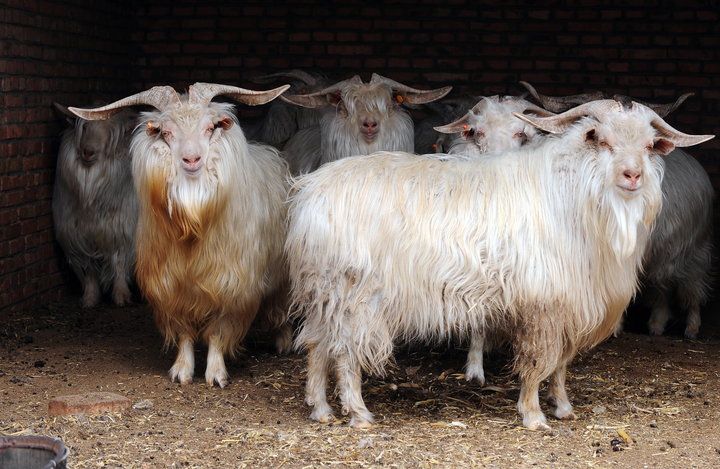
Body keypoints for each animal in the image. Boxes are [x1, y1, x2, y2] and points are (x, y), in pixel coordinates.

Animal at [51, 103, 138, 308]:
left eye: (110, 133)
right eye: (84, 127)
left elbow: (119, 262)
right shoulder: (78, 235)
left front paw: (121, 296)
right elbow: (88, 268)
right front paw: (89, 299)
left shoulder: (123, 231)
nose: (88, 151)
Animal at [67, 84, 292, 388]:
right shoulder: (169, 285)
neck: (193, 224)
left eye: (210, 128)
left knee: (281, 306)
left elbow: (218, 331)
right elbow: (183, 331)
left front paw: (216, 374)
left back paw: (284, 341)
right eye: (166, 132)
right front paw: (182, 370)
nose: (192, 159)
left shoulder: (230, 283)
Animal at [286, 100, 708, 430]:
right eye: (600, 139)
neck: (571, 194)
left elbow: (561, 363)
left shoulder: (570, 302)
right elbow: (538, 361)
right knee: (344, 352)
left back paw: (321, 408)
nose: (632, 175)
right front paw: (533, 415)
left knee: (317, 345)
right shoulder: (544, 304)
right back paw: (358, 413)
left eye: (650, 145)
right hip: (354, 295)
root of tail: (309, 194)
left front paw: (563, 407)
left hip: (324, 290)